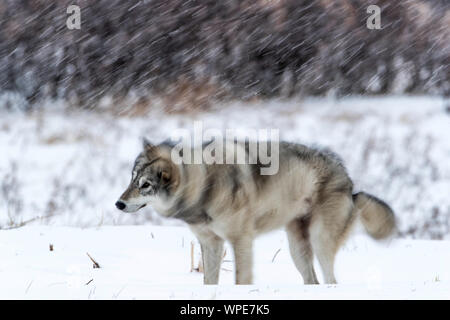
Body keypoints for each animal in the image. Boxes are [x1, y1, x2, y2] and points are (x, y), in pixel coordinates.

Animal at [115, 139, 394, 284]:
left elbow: (242, 278)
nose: (119, 204)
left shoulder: (241, 240)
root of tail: (350, 183)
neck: (205, 186)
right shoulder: (211, 243)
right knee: (313, 281)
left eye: (145, 185)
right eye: (132, 179)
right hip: (297, 249)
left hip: (320, 241)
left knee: (330, 280)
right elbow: (209, 280)